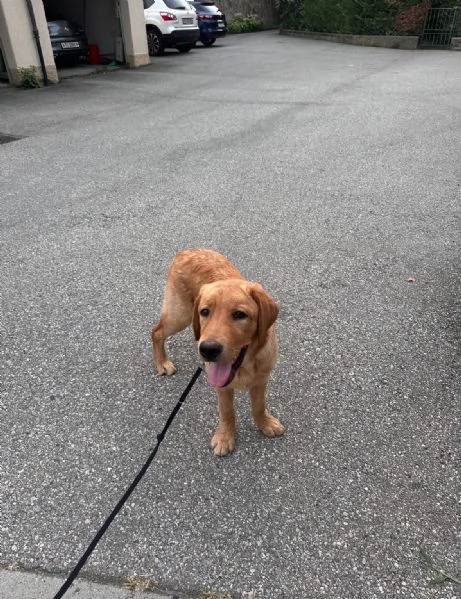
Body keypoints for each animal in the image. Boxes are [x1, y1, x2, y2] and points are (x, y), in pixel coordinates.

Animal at [152, 247, 284, 454]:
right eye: (205, 312)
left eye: (239, 315)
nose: (208, 349)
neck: (245, 364)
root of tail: (186, 250)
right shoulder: (222, 388)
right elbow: (227, 412)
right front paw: (224, 437)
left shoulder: (261, 379)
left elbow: (258, 406)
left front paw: (265, 423)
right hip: (180, 314)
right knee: (156, 332)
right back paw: (162, 362)